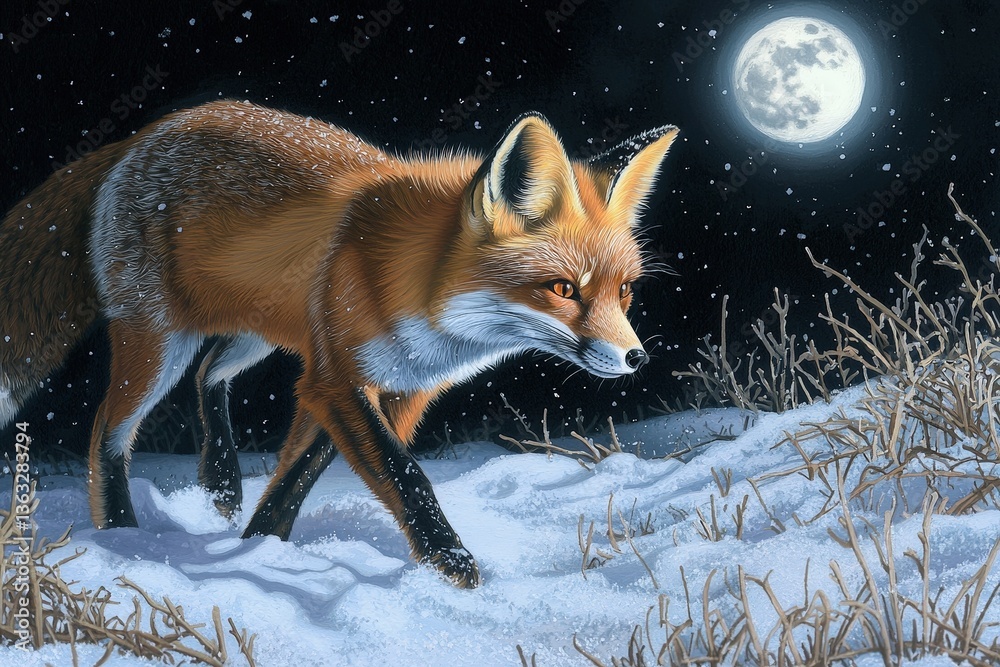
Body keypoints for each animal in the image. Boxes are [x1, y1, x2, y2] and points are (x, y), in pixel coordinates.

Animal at [0, 100, 678, 588]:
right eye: (562, 288)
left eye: (625, 293)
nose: (637, 358)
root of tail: (143, 134)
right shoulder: (335, 381)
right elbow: (406, 476)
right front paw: (451, 565)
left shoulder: (391, 388)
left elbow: (300, 477)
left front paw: (259, 547)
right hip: (159, 341)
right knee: (107, 430)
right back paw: (121, 531)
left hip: (260, 332)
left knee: (210, 373)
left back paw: (221, 481)